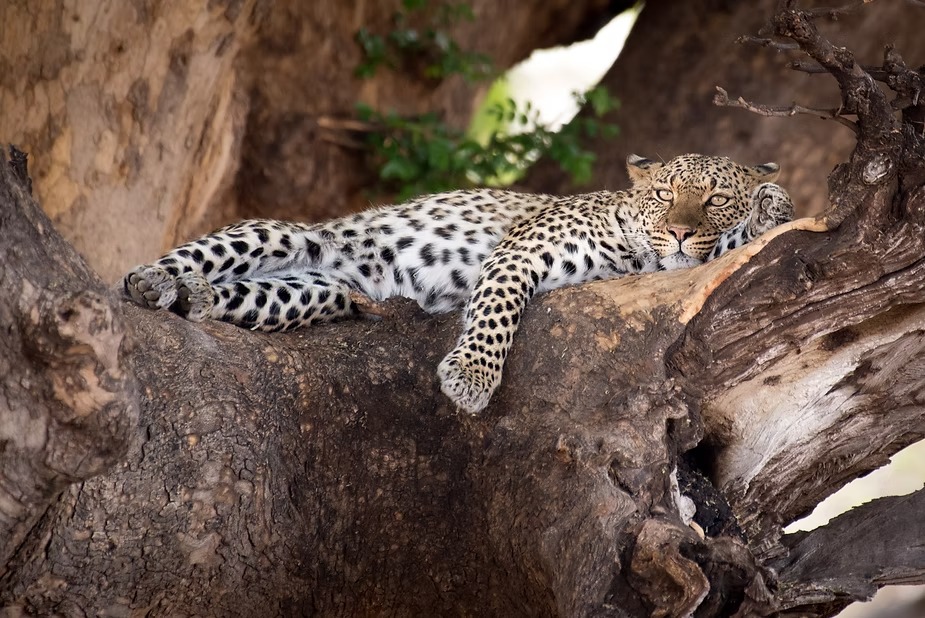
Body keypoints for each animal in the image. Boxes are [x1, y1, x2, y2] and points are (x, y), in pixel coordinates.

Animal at [123, 153, 794, 414]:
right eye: (664, 195)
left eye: (714, 201)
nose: (681, 233)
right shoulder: (520, 252)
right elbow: (496, 314)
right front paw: (471, 379)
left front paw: (772, 207)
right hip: (280, 234)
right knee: (173, 263)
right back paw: (155, 283)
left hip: (310, 290)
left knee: (248, 293)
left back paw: (200, 296)